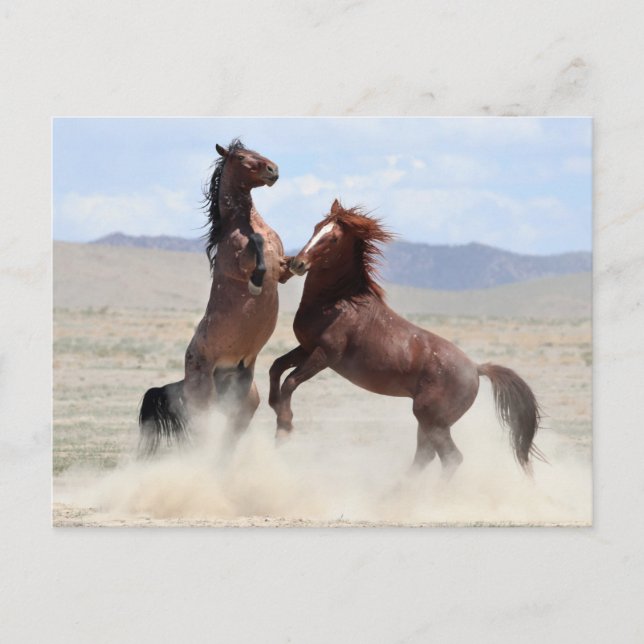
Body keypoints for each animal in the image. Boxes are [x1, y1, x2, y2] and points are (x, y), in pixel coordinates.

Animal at [138, 139, 292, 456]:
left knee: (227, 442)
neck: (243, 223)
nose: (273, 170)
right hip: (204, 405)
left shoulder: (282, 270)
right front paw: (256, 283)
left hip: (243, 403)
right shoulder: (241, 259)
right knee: (204, 439)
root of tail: (184, 382)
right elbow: (256, 246)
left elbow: (292, 264)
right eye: (242, 157)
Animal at [268, 199, 545, 477]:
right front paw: (274, 405)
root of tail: (476, 369)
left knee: (450, 458)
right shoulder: (306, 347)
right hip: (428, 420)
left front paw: (284, 428)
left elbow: (290, 381)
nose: (297, 264)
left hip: (431, 419)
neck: (338, 303)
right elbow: (276, 368)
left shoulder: (325, 355)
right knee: (425, 456)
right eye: (316, 228)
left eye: (333, 238)